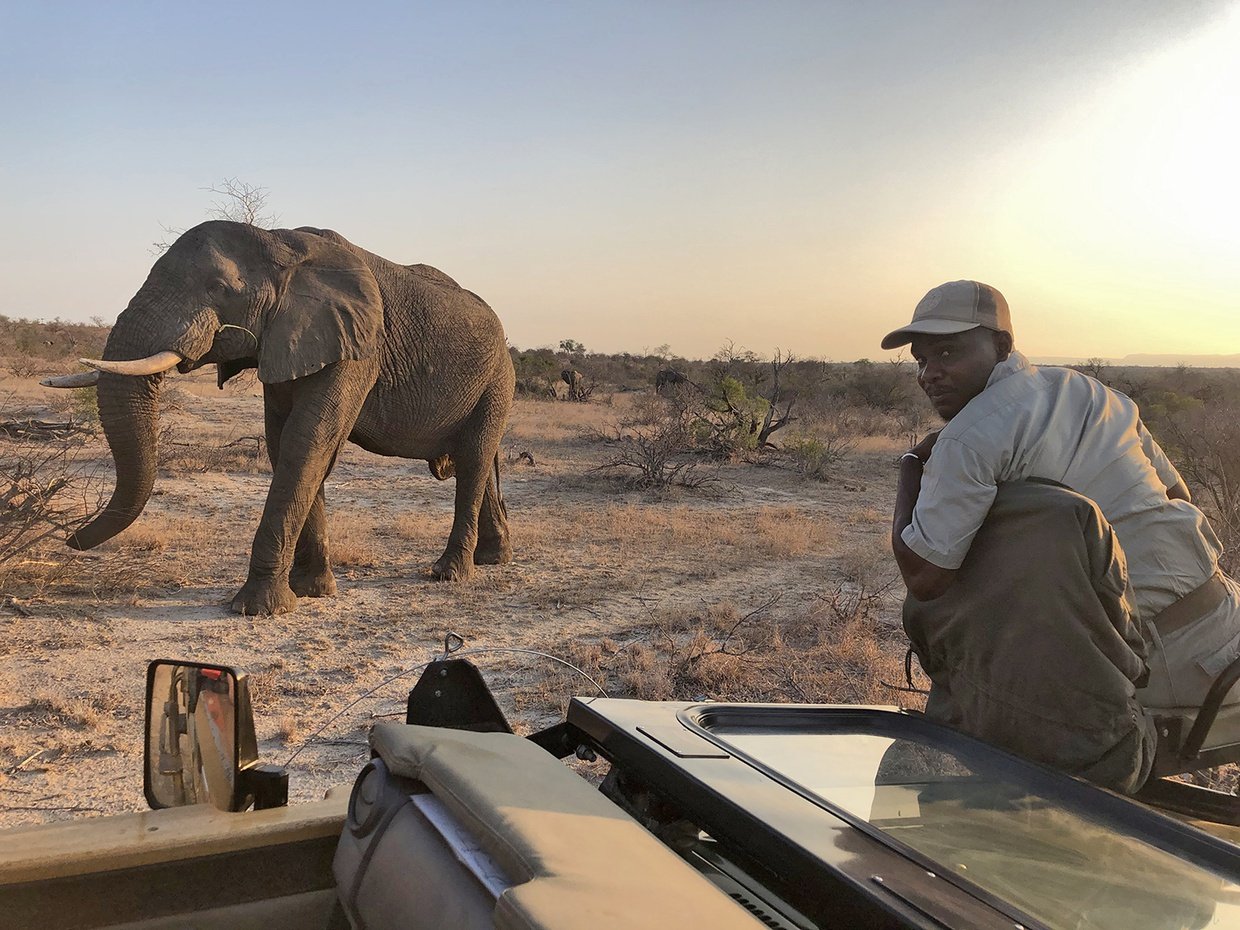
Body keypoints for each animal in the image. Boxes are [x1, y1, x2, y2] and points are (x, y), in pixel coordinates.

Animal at [49, 220, 515, 615]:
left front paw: (258, 609)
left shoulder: (358, 348)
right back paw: (494, 558)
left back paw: (449, 574)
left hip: (497, 381)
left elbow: (306, 443)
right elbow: (283, 444)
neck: (282, 242)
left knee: (473, 461)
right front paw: (312, 590)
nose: (69, 539)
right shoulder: (286, 340)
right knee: (477, 464)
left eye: (219, 288)